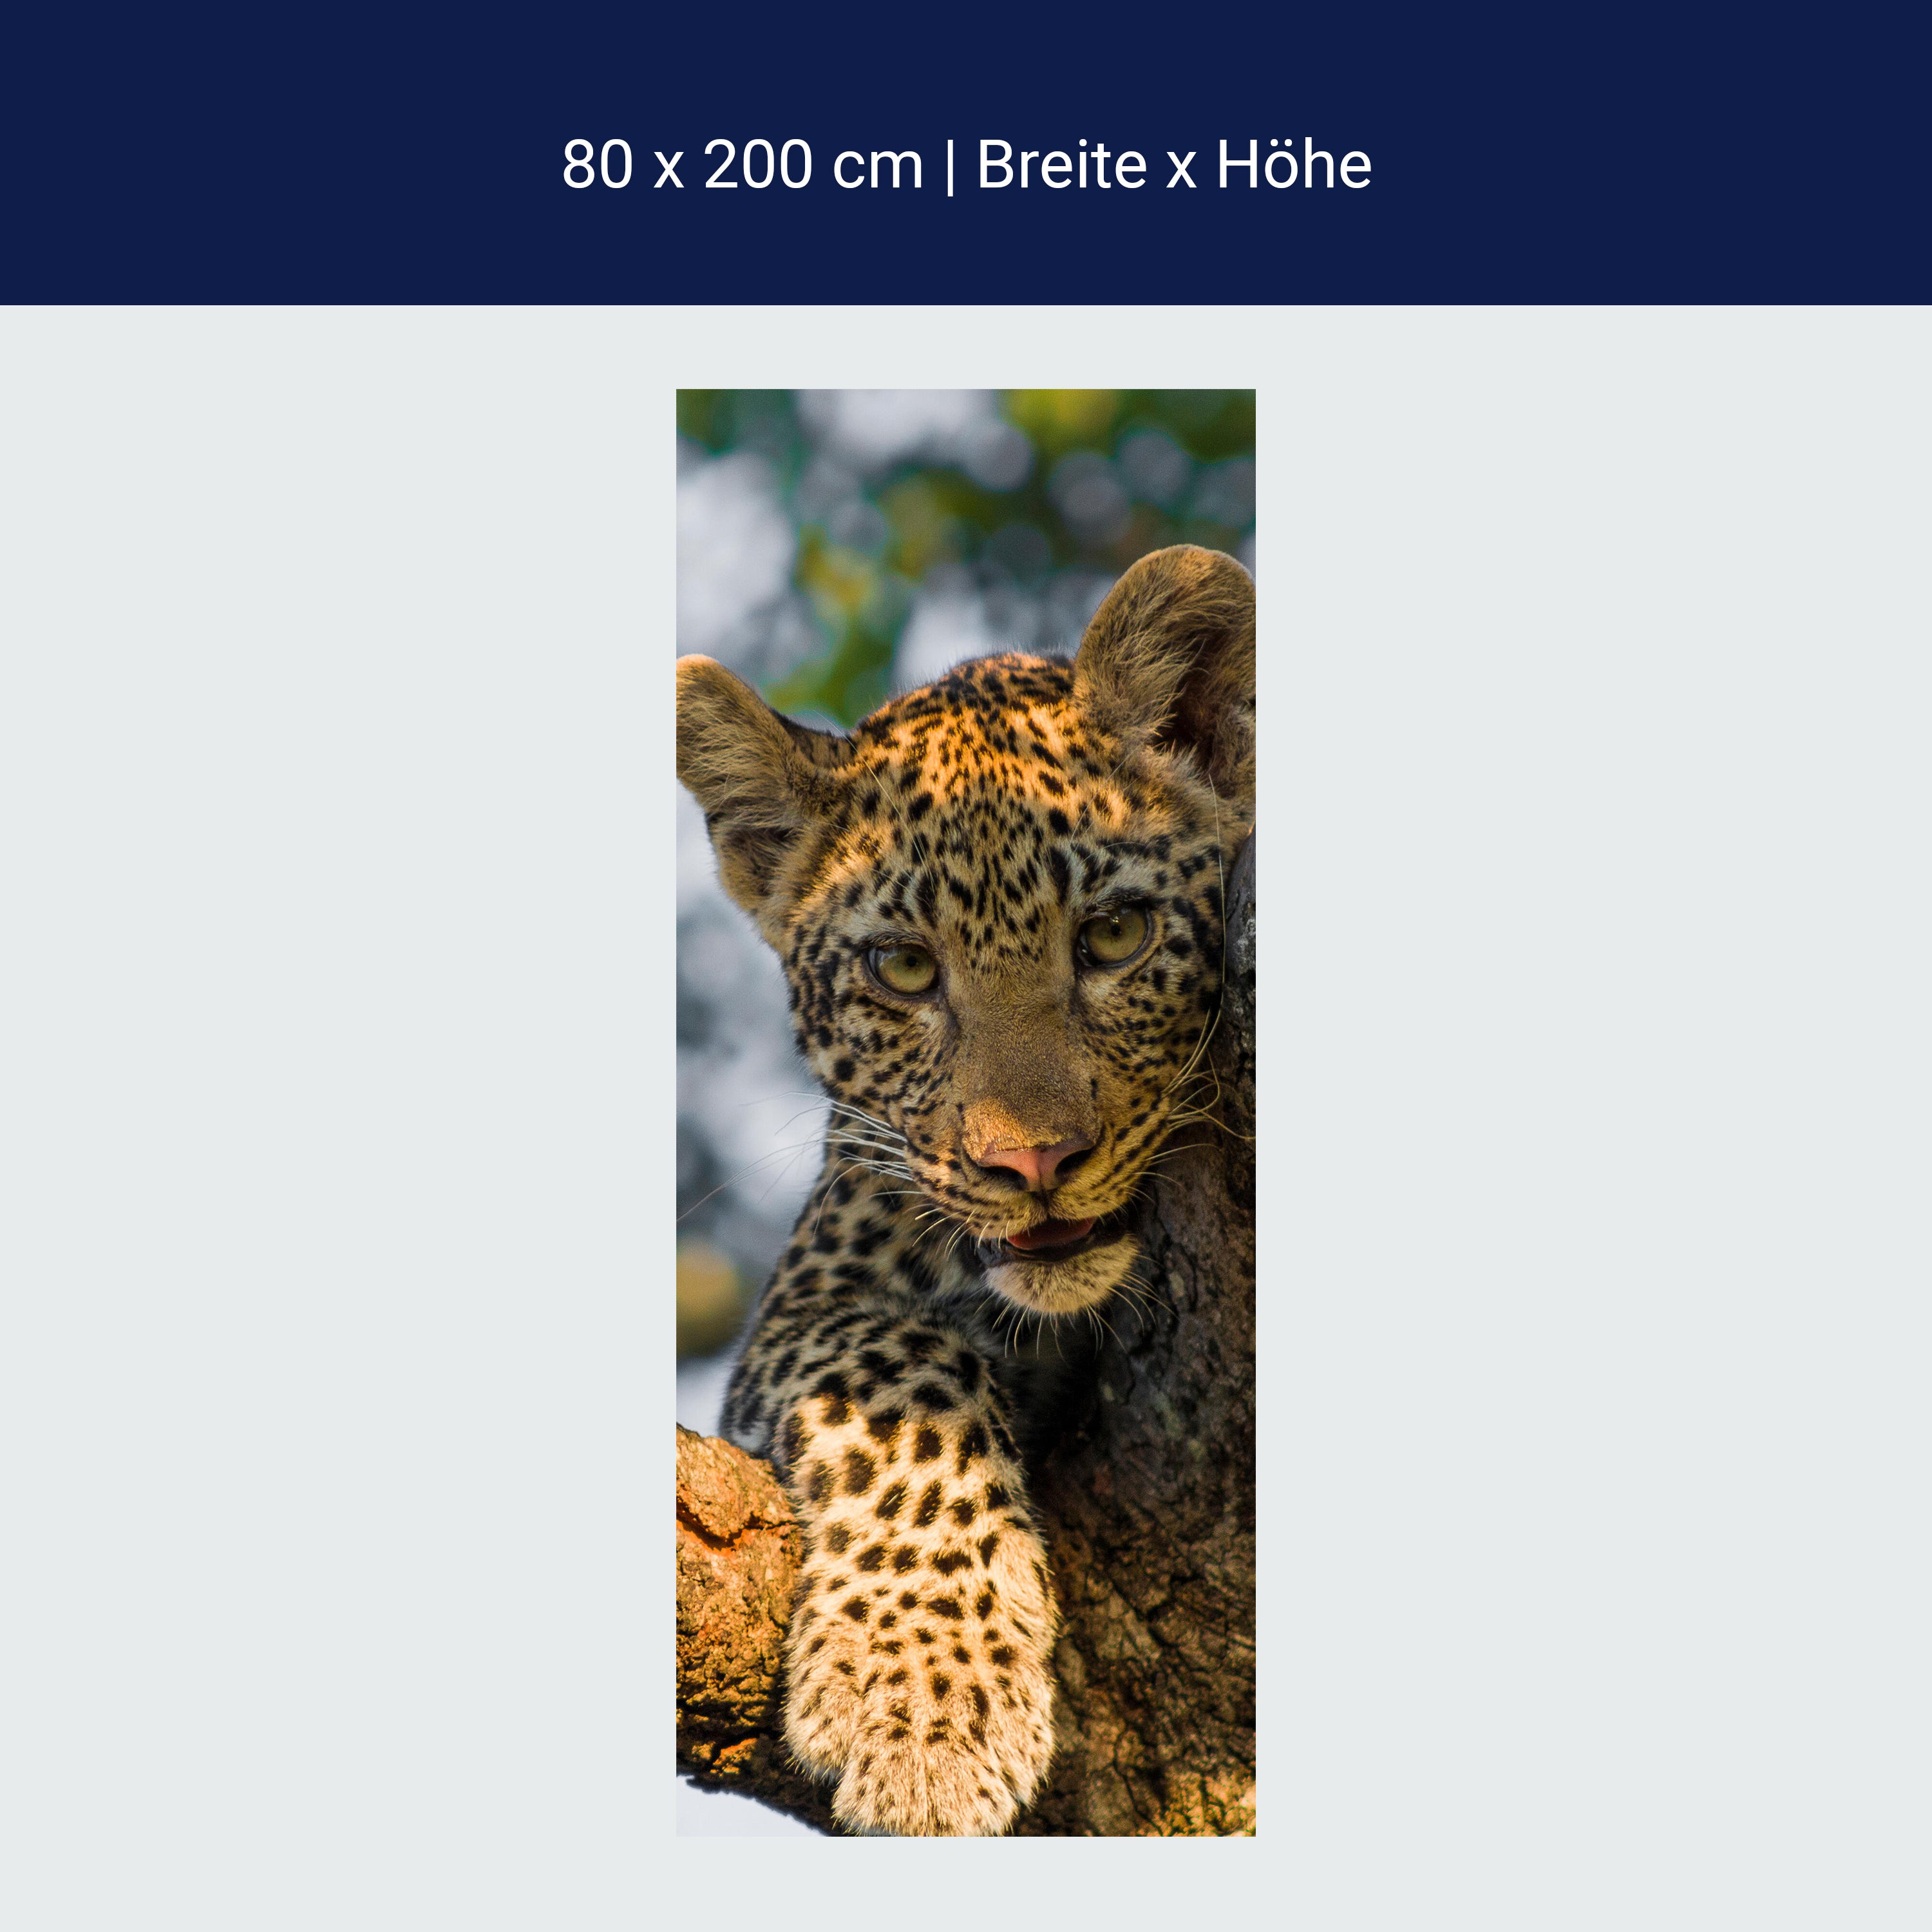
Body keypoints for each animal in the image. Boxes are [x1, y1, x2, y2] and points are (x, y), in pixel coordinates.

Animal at [675, 543, 1255, 1835]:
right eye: (903, 969)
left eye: (1116, 935)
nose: (1032, 1164)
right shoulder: (807, 1300)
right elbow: (904, 1370)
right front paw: (925, 1707)